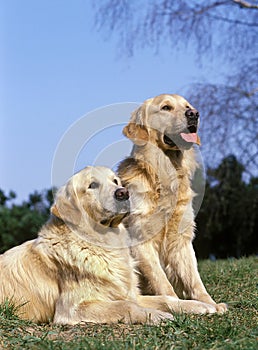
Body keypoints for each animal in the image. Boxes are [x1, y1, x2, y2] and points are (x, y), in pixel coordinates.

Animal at [118, 93, 227, 314]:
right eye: (166, 107)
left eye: (187, 106)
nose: (194, 114)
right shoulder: (141, 239)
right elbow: (162, 281)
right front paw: (180, 304)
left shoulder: (181, 239)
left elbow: (195, 279)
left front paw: (210, 303)